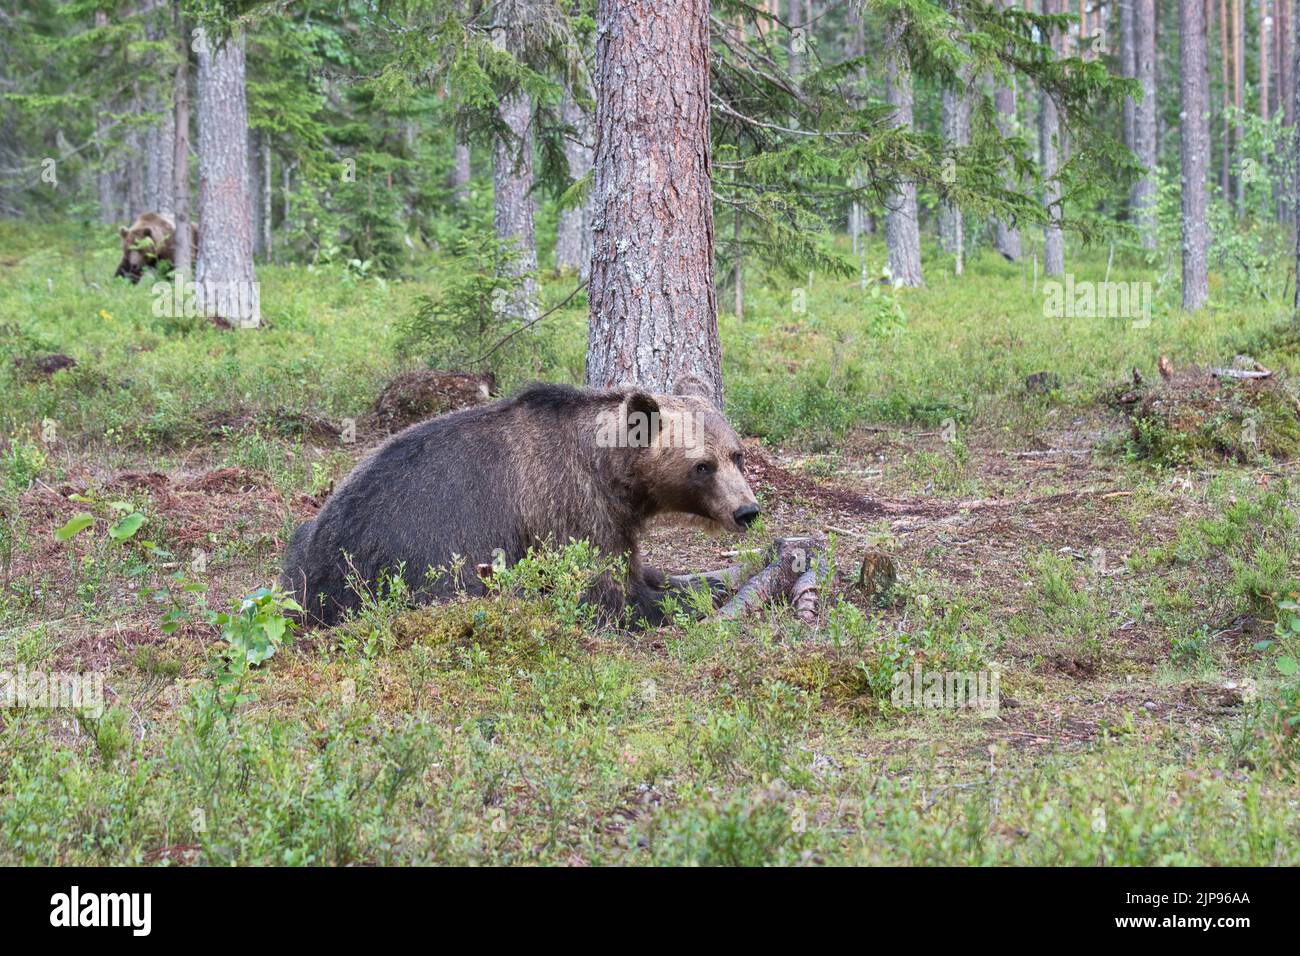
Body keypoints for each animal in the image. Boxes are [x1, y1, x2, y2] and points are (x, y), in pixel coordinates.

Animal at [279, 377, 759, 632]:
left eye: (736, 455)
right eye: (702, 466)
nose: (746, 511)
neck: (610, 472)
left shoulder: (614, 515)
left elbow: (640, 567)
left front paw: (703, 580)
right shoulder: (568, 506)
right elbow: (606, 592)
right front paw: (680, 601)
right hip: (408, 557)